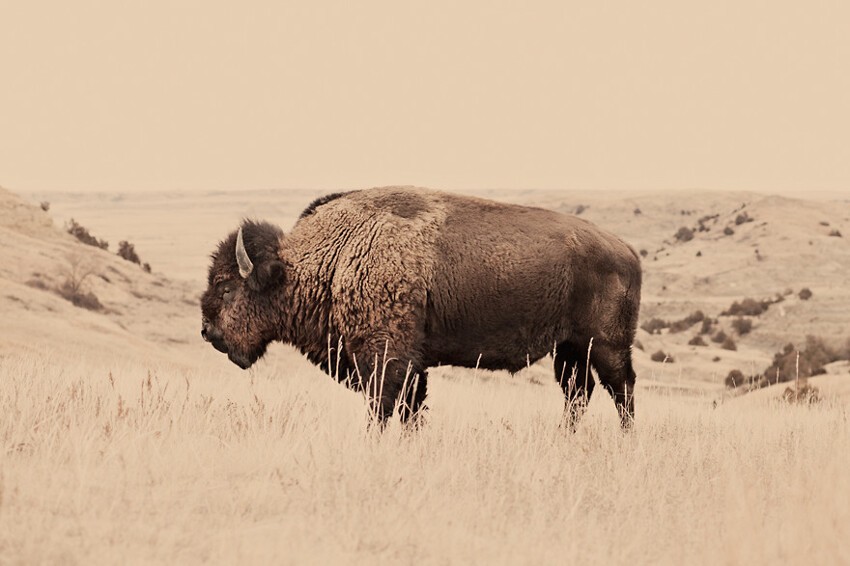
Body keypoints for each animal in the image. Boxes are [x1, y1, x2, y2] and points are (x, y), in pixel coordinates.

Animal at [199, 187, 640, 430]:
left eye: (226, 288)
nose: (208, 332)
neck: (336, 256)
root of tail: (626, 249)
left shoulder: (385, 357)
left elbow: (383, 409)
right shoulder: (414, 364)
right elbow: (411, 411)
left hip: (607, 346)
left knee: (621, 390)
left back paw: (626, 441)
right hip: (570, 349)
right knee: (578, 394)